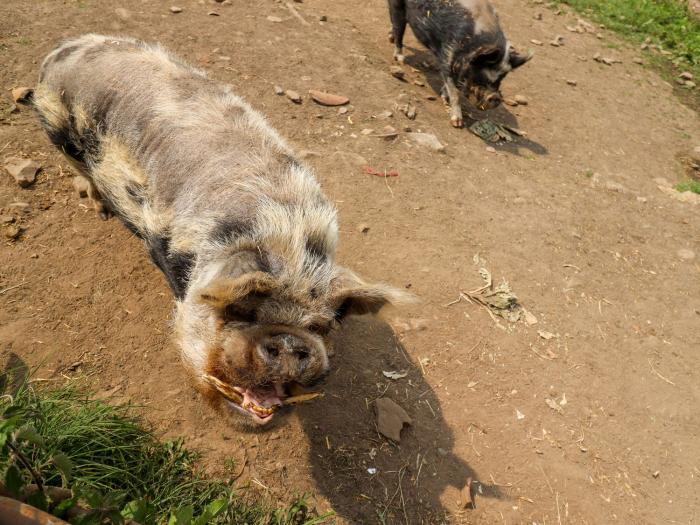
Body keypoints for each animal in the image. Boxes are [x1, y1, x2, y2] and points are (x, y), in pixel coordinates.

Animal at [28, 33, 410, 426]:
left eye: (320, 326)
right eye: (240, 310)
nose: (290, 343)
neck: (287, 242)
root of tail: (64, 49)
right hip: (58, 131)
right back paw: (100, 207)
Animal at [388, 0, 532, 126]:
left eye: (500, 79)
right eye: (481, 75)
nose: (495, 97)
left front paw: (444, 96)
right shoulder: (448, 55)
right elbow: (455, 93)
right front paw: (457, 123)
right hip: (397, 6)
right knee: (398, 28)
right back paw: (399, 58)